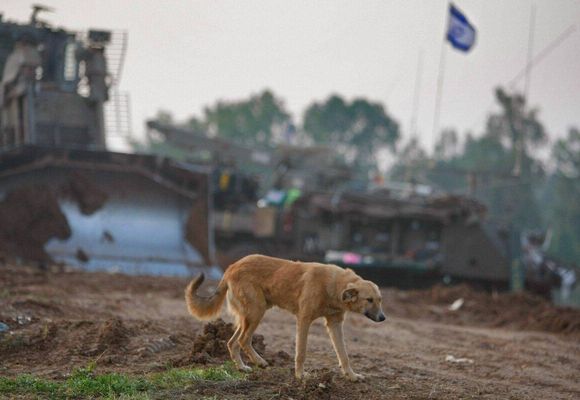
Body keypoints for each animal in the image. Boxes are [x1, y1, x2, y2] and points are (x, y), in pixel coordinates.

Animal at [186, 255, 386, 380]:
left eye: (379, 299)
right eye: (369, 300)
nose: (383, 318)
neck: (334, 286)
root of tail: (231, 267)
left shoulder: (335, 324)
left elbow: (344, 355)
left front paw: (351, 376)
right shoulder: (304, 320)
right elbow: (301, 352)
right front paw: (300, 376)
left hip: (249, 316)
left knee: (232, 342)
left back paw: (243, 367)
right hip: (256, 313)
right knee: (242, 341)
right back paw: (259, 362)